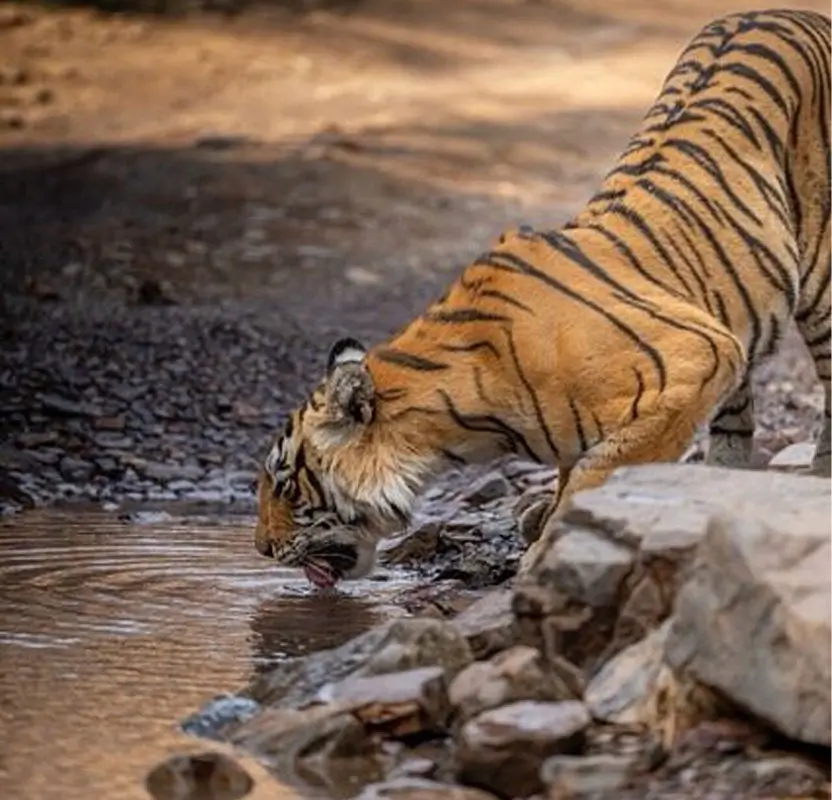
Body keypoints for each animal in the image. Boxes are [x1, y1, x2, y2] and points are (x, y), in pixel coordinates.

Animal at [254, 8, 831, 588]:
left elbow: (597, 473)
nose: (261, 548)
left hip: (819, 284)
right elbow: (575, 469)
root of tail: (792, 12)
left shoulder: (698, 357)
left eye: (286, 485)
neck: (459, 423)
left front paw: (548, 549)